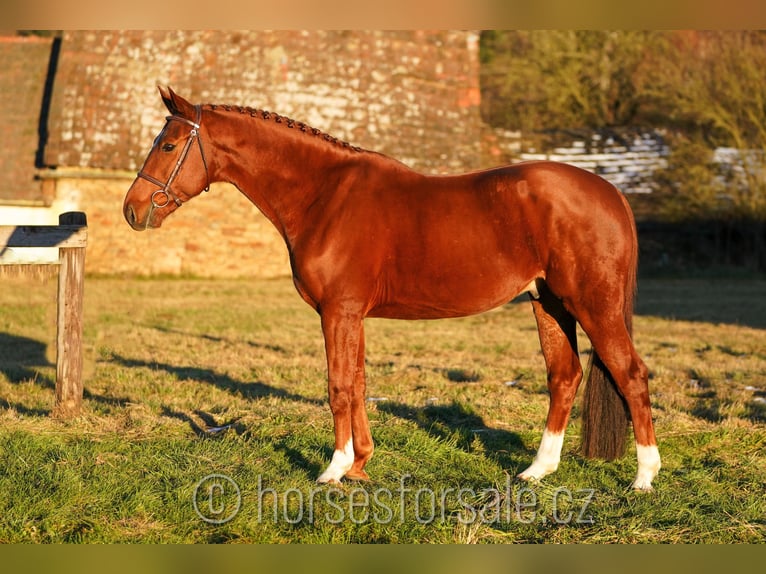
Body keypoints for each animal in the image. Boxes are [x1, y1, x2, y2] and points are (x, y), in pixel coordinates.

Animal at [124, 88, 660, 492]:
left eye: (168, 146)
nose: (132, 209)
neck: (325, 194)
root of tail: (610, 192)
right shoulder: (352, 314)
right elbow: (359, 383)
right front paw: (360, 465)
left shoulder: (338, 311)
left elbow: (339, 386)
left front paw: (334, 469)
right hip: (547, 302)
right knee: (565, 376)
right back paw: (537, 471)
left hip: (592, 305)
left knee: (631, 374)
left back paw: (644, 477)